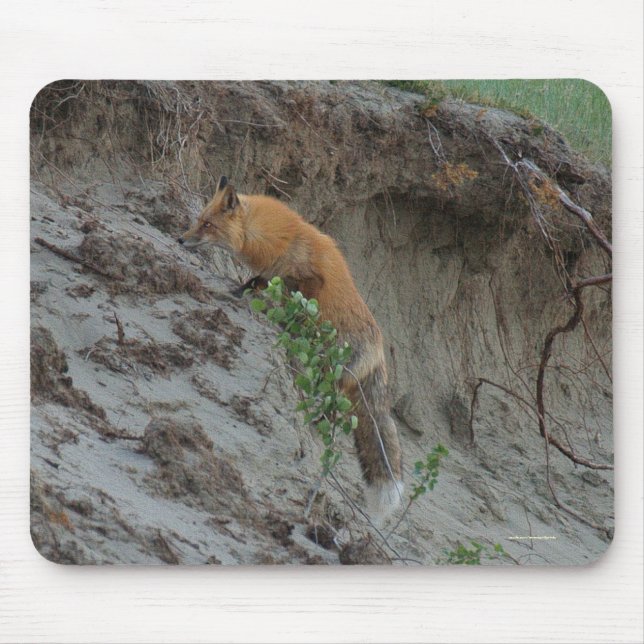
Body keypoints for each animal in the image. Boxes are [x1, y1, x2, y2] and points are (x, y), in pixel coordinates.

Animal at [178, 176, 403, 519]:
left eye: (207, 224)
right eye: (199, 221)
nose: (180, 239)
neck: (282, 240)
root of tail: (380, 354)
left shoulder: (307, 281)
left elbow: (289, 300)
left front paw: (278, 318)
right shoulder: (267, 274)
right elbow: (252, 284)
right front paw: (234, 293)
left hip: (333, 372)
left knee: (332, 408)